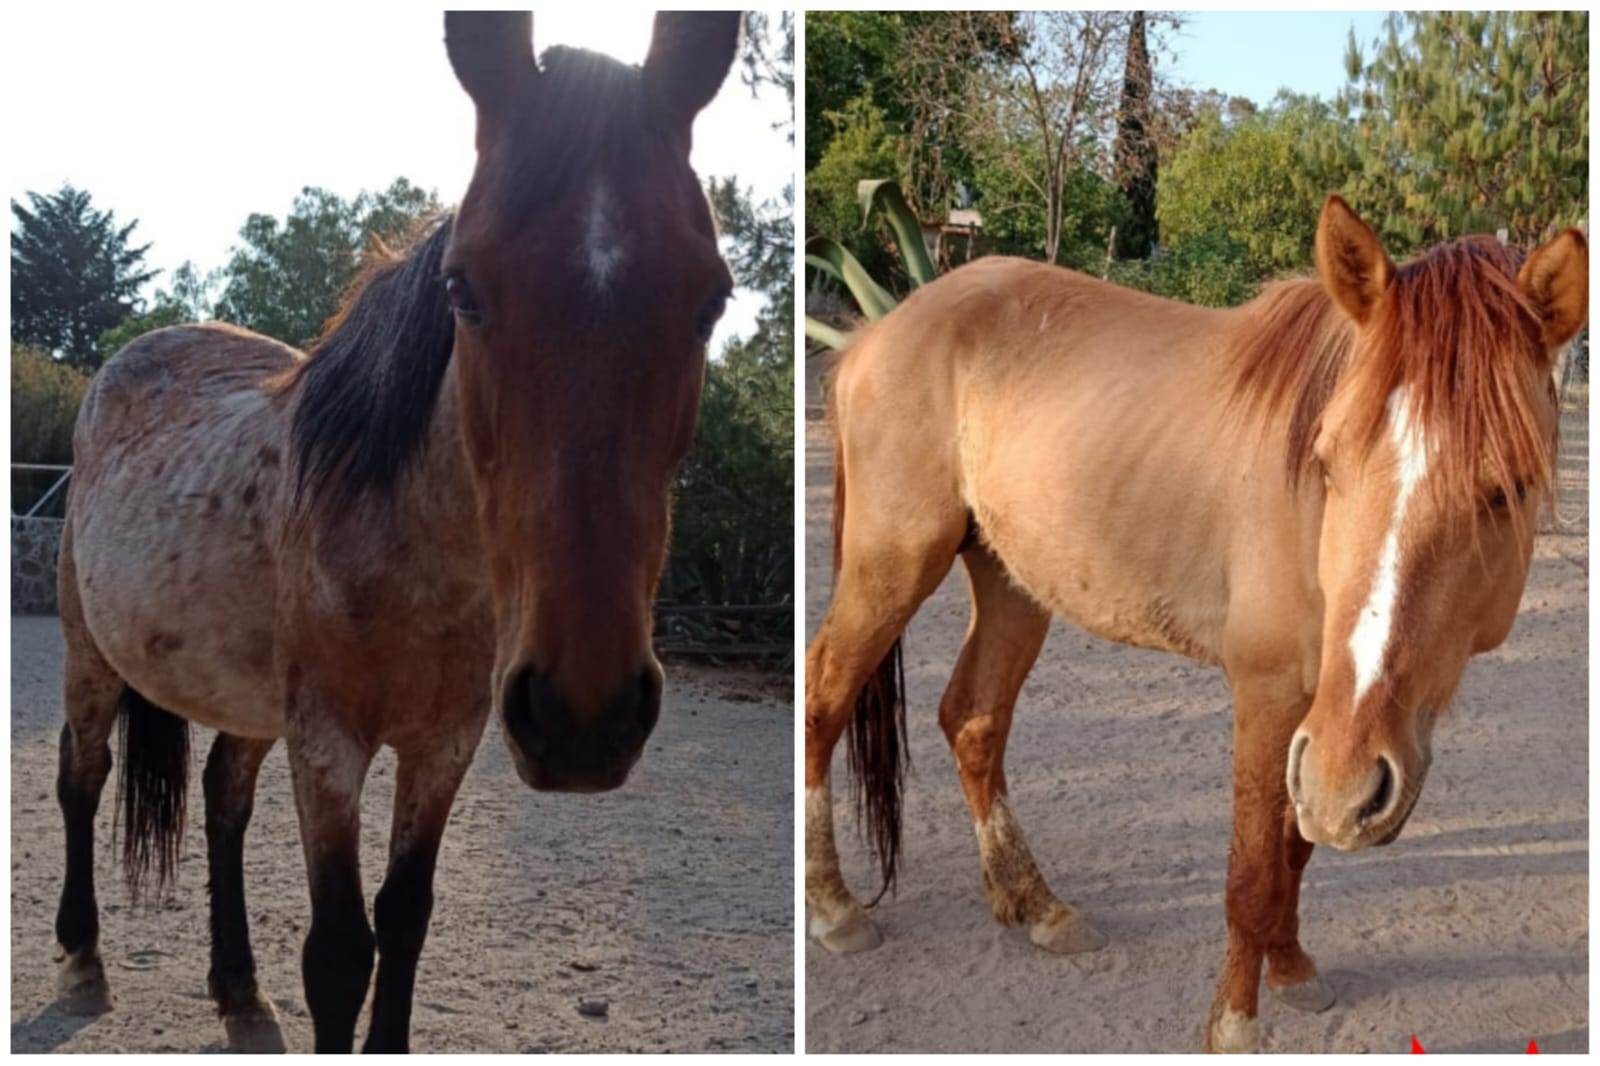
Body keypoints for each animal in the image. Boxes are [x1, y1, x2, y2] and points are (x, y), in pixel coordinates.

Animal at [53, 12, 739, 1049]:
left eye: (711, 298)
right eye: (462, 289)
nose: (584, 715)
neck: (415, 555)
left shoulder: (445, 742)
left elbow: (406, 917)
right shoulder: (329, 743)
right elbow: (341, 954)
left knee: (222, 799)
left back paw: (238, 986)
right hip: (93, 657)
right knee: (83, 776)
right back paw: (83, 950)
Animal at [806, 195, 1580, 1049]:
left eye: (1507, 489)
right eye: (1329, 462)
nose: (1354, 788)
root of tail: (881, 330)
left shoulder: (1322, 723)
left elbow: (1295, 848)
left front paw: (1293, 970)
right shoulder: (1274, 698)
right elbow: (1252, 870)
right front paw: (1236, 1023)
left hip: (1012, 582)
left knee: (973, 720)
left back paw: (1036, 906)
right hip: (892, 565)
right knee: (824, 700)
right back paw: (834, 911)